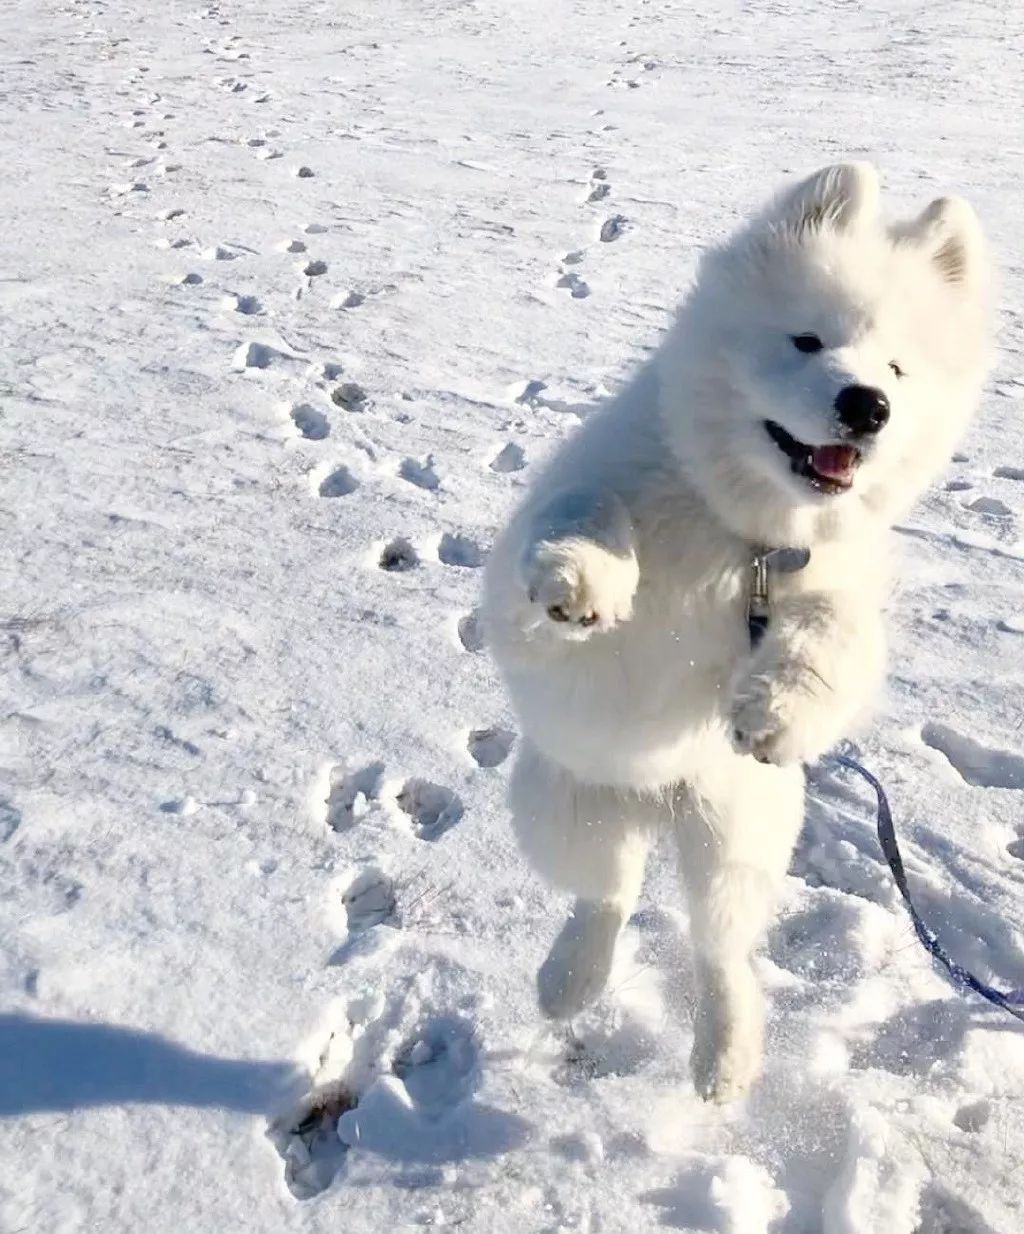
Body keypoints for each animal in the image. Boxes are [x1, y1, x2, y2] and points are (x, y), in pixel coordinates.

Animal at [486, 161, 991, 1100]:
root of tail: (658, 802)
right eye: (806, 341)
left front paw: (776, 710)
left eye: (897, 369)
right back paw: (569, 981)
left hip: (739, 841)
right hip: (564, 807)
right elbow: (584, 515)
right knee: (605, 896)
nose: (867, 406)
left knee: (717, 949)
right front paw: (585, 582)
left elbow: (833, 633)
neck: (745, 533)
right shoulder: (545, 557)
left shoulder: (832, 586)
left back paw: (724, 1059)